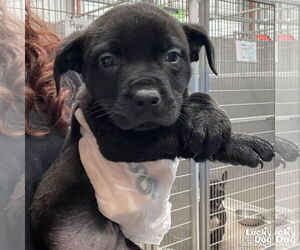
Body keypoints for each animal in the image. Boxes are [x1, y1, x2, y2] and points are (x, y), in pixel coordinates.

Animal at [30, 3, 274, 250]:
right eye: (107, 60)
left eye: (172, 56)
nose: (146, 98)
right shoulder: (118, 140)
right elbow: (173, 135)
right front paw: (241, 144)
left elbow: (193, 100)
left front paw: (208, 116)